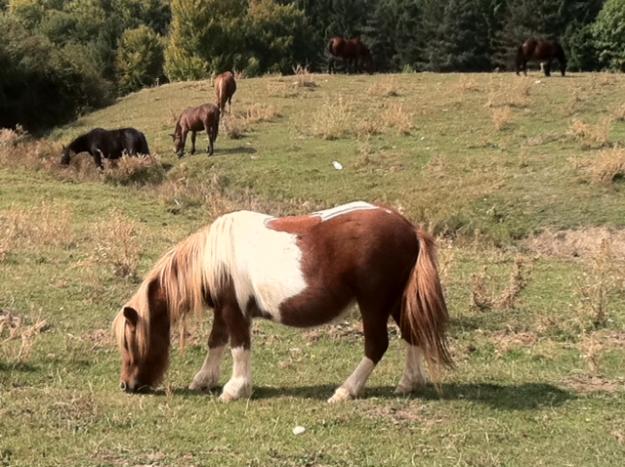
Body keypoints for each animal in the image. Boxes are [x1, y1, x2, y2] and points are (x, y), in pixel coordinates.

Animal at [113, 201, 454, 402]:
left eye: (129, 343)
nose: (126, 385)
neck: (215, 257)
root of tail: (410, 229)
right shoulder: (224, 310)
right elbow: (216, 343)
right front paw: (204, 380)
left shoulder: (234, 311)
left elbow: (238, 347)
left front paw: (235, 389)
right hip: (396, 301)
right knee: (411, 335)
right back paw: (409, 383)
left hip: (374, 304)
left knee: (376, 345)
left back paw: (346, 391)